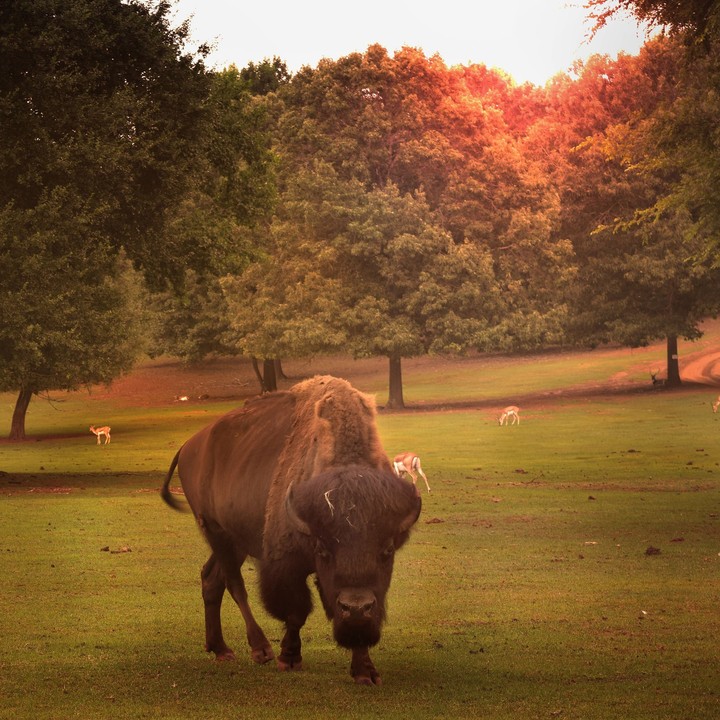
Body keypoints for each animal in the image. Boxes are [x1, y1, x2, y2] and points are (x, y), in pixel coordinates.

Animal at [161, 375, 421, 685]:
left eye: (387, 549)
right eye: (323, 549)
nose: (356, 607)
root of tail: (189, 446)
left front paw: (365, 671)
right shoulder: (286, 563)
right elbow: (296, 612)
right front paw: (289, 658)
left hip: (236, 540)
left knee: (211, 579)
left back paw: (221, 649)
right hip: (216, 531)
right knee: (235, 584)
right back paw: (260, 649)